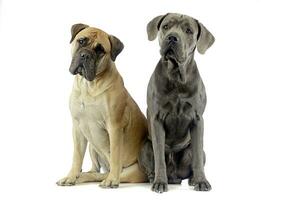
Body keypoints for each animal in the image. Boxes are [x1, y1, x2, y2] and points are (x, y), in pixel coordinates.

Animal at [56, 23, 148, 188]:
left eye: (100, 50)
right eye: (81, 41)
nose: (85, 55)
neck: (88, 86)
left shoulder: (114, 126)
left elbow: (115, 154)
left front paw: (112, 180)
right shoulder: (78, 127)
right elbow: (77, 156)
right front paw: (71, 176)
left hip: (131, 171)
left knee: (102, 174)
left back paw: (102, 177)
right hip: (92, 146)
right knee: (95, 170)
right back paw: (82, 175)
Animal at [138, 13, 214, 193]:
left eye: (189, 31)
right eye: (166, 26)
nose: (172, 37)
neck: (176, 77)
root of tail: (175, 177)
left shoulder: (198, 120)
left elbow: (197, 158)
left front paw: (202, 181)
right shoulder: (157, 120)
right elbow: (159, 156)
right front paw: (159, 182)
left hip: (198, 151)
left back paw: (193, 179)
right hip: (145, 147)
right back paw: (153, 178)